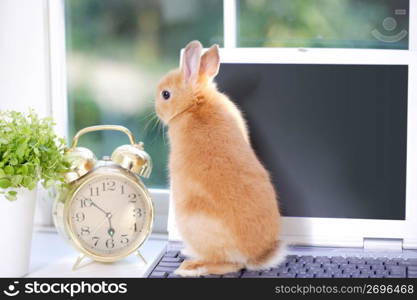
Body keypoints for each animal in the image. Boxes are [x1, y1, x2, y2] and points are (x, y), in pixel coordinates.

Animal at [154, 40, 284, 276]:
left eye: (165, 94)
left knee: (228, 264)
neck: (195, 102)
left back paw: (190, 266)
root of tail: (253, 257)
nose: (157, 109)